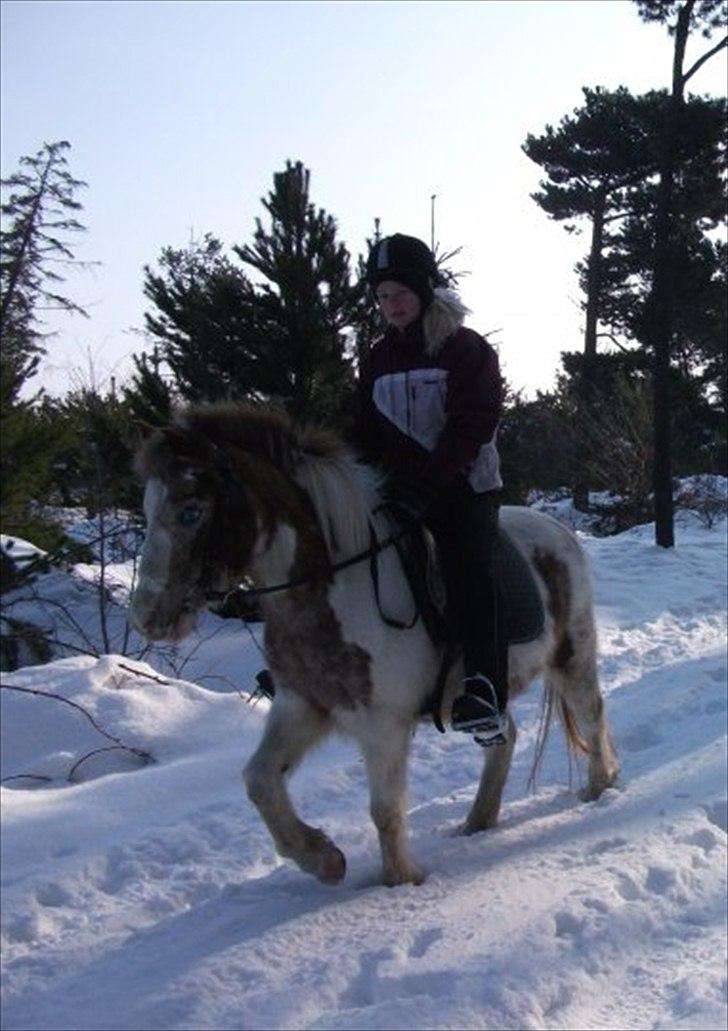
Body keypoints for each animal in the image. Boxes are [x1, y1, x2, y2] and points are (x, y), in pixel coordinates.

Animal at [130, 402, 618, 886]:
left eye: (191, 511)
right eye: (148, 508)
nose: (148, 616)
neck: (333, 590)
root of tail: (558, 529)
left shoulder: (383, 725)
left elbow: (384, 810)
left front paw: (401, 879)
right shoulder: (302, 705)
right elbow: (260, 780)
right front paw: (322, 858)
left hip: (571, 655)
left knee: (590, 713)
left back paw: (599, 786)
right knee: (507, 736)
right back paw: (477, 821)